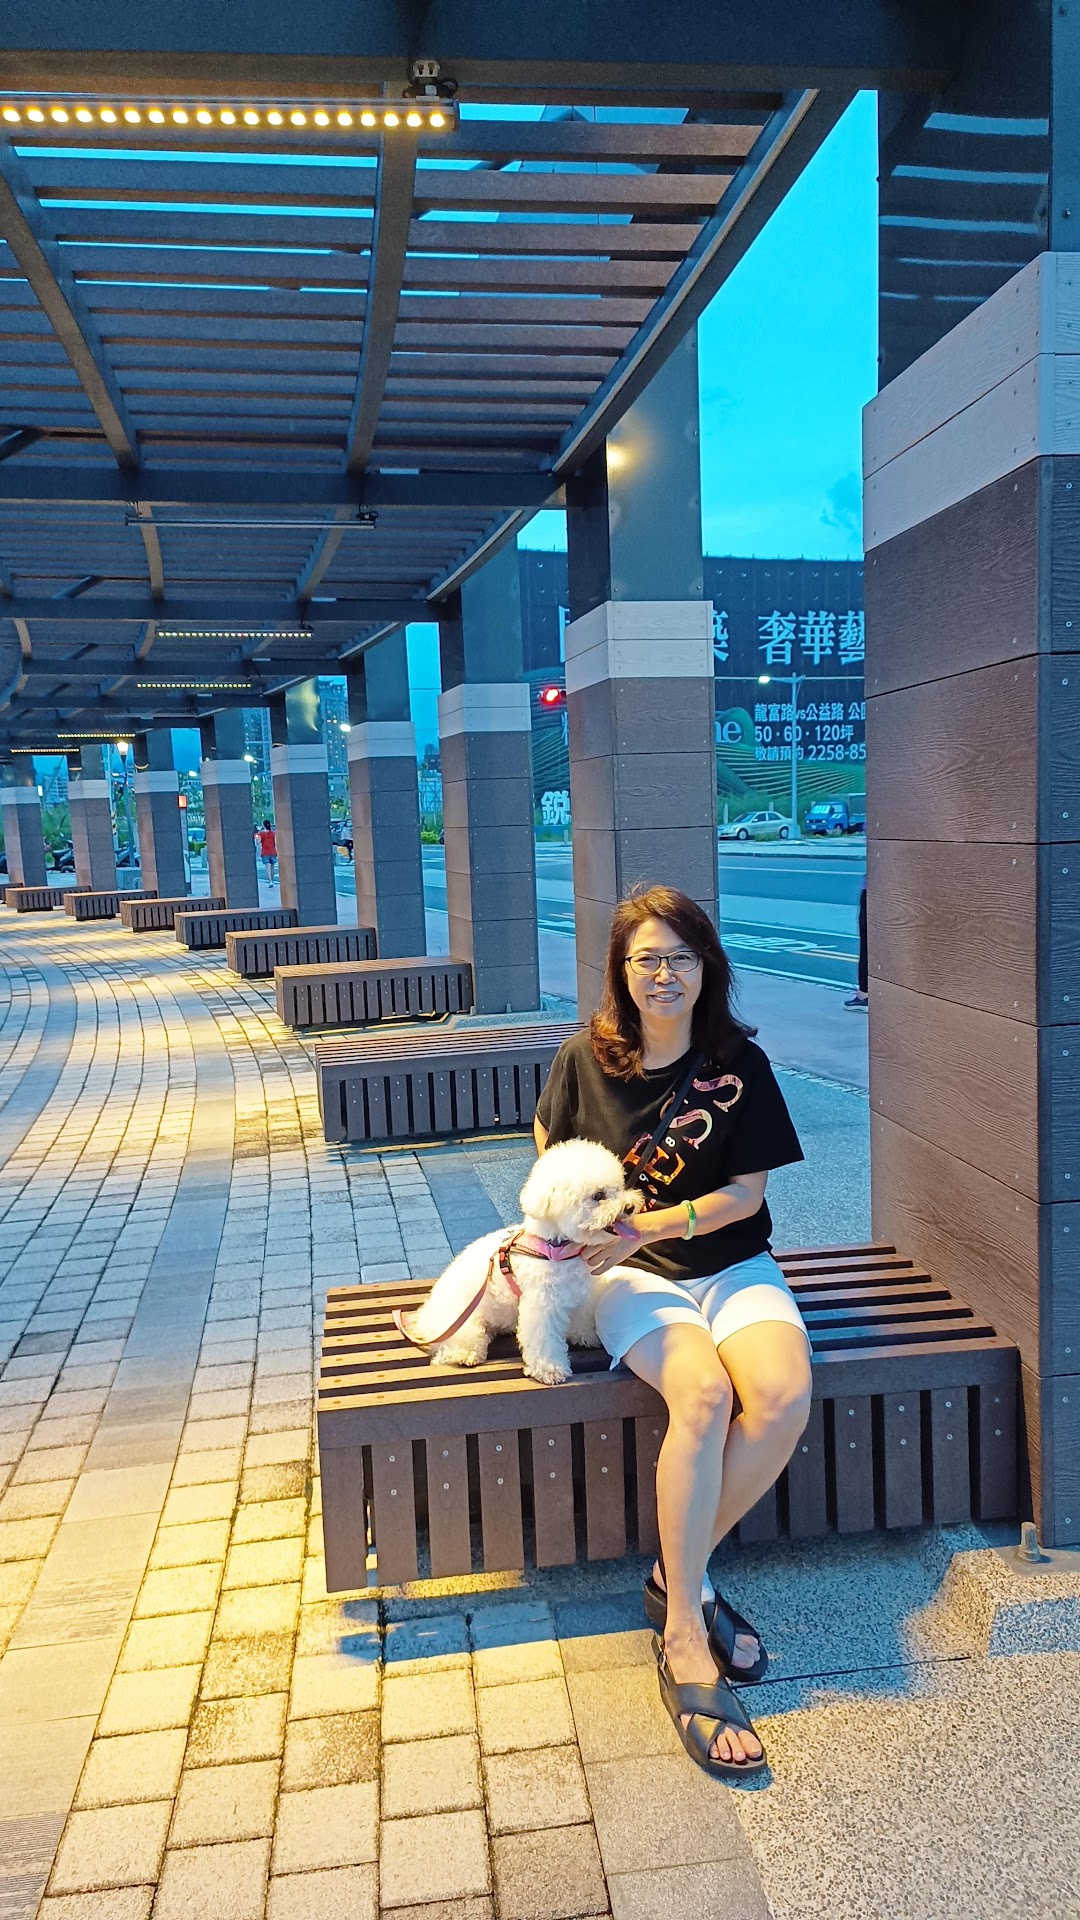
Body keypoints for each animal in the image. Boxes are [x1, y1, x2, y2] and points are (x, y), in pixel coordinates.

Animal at [396, 1140, 641, 1385]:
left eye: (619, 1187)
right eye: (598, 1196)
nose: (630, 1207)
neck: (555, 1247)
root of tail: (425, 1318)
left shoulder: (580, 1295)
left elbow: (582, 1319)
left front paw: (587, 1337)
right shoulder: (542, 1306)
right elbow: (543, 1340)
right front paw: (550, 1370)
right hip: (463, 1322)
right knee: (452, 1346)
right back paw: (465, 1354)